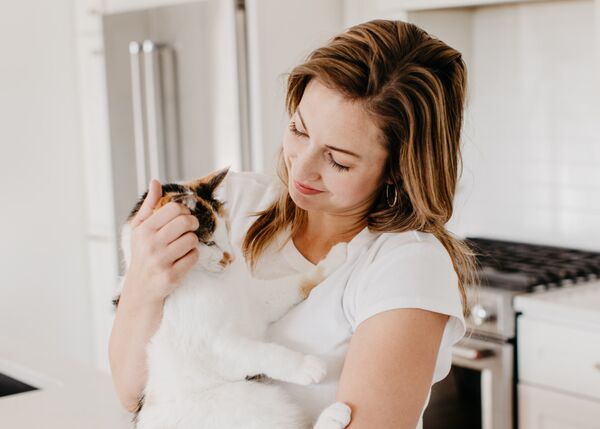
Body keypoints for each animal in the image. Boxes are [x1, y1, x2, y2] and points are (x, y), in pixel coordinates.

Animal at [112, 168, 352, 428]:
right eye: (209, 242)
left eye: (227, 229)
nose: (231, 258)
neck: (213, 280)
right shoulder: (216, 347)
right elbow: (264, 352)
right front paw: (306, 366)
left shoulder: (259, 300)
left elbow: (299, 283)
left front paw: (334, 258)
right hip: (253, 401)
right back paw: (334, 414)